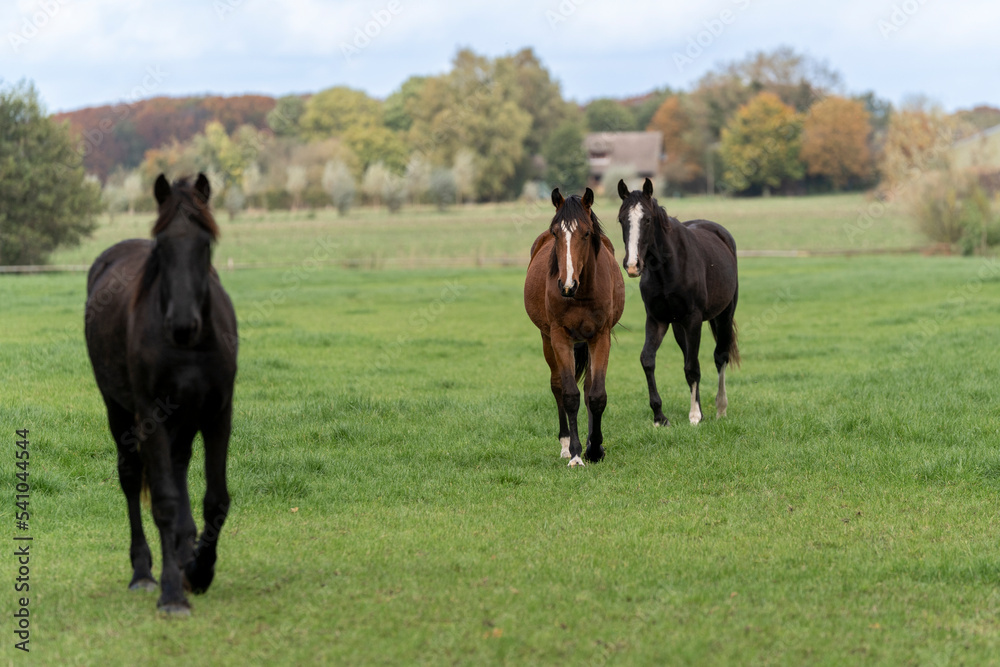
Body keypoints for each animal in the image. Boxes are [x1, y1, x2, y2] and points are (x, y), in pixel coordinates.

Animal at [84, 173, 237, 614]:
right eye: (162, 246)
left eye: (206, 243)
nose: (183, 324)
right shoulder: (150, 417)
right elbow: (165, 503)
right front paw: (172, 593)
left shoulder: (218, 414)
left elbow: (215, 498)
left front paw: (200, 571)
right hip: (120, 412)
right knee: (132, 478)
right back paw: (143, 573)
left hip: (183, 419)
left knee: (180, 465)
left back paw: (186, 553)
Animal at [524, 188, 625, 466]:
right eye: (556, 232)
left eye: (586, 233)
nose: (566, 285)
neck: (581, 294)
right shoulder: (560, 337)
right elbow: (569, 394)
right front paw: (577, 454)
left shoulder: (600, 336)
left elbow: (596, 394)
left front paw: (595, 449)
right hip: (547, 339)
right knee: (557, 385)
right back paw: (565, 446)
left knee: (589, 387)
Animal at [616, 178, 739, 427]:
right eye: (622, 219)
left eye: (647, 219)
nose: (632, 265)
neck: (667, 267)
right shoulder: (657, 319)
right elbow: (648, 360)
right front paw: (659, 416)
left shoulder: (693, 319)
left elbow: (693, 367)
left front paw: (694, 416)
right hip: (677, 326)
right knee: (689, 356)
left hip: (724, 314)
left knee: (720, 356)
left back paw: (720, 408)